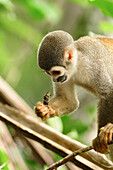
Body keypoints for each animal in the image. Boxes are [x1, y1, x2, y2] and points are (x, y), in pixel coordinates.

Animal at [35, 30, 113, 159]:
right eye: (49, 73)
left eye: (56, 72)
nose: (55, 80)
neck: (78, 61)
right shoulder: (67, 75)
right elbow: (68, 100)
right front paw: (45, 110)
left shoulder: (93, 64)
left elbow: (108, 93)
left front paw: (101, 138)